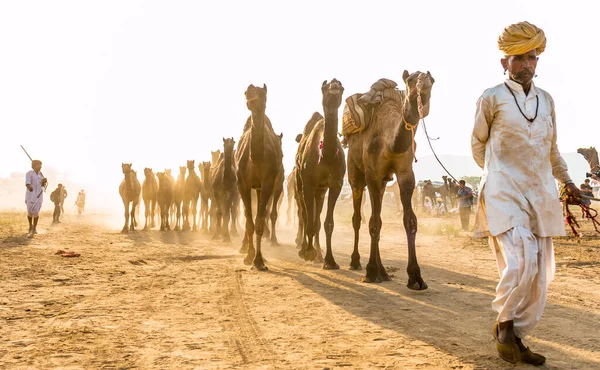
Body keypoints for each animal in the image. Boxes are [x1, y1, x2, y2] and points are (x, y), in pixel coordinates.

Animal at [234, 82, 284, 270]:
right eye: (247, 90)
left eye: (263, 93)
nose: (250, 92)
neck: (256, 158)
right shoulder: (242, 184)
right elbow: (249, 222)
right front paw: (249, 256)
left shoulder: (269, 183)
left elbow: (260, 222)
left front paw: (259, 260)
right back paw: (244, 246)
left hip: (264, 187)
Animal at [296, 79, 346, 268]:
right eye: (324, 87)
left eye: (342, 86)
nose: (334, 84)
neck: (326, 156)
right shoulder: (308, 184)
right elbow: (308, 221)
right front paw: (308, 253)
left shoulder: (336, 184)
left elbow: (327, 223)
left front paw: (330, 261)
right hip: (299, 185)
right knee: (305, 215)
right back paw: (305, 249)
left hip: (320, 191)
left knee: (316, 219)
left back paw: (319, 253)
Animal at [344, 70, 434, 290]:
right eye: (410, 80)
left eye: (433, 79)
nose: (425, 80)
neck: (391, 143)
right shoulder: (372, 175)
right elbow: (373, 223)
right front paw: (369, 272)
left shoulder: (405, 174)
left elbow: (409, 220)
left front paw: (416, 277)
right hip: (355, 175)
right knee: (358, 217)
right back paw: (356, 262)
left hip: (384, 183)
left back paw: (383, 272)